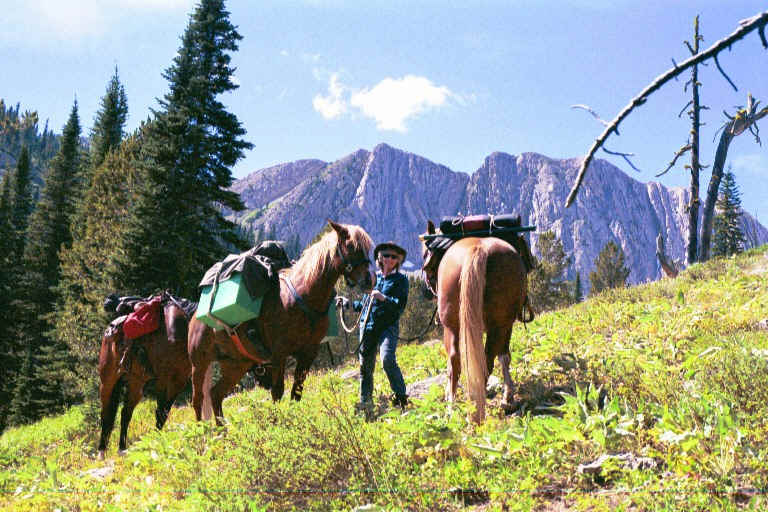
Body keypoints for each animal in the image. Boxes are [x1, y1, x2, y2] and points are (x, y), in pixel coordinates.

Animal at [97, 302, 192, 458]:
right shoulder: (164, 380)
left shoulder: (179, 382)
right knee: (106, 414)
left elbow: (164, 413)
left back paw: (122, 449)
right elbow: (160, 412)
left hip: (136, 385)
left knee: (125, 413)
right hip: (107, 382)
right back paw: (101, 451)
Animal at [189, 220, 376, 424]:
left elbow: (296, 392)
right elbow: (277, 392)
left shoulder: (308, 353)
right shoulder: (279, 354)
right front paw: (279, 423)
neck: (303, 296)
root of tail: (195, 316)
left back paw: (222, 429)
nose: (370, 281)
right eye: (350, 246)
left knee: (216, 394)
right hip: (199, 363)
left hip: (236, 364)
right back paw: (202, 430)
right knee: (198, 399)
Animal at [420, 218, 536, 422]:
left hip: (453, 327)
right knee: (486, 359)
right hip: (498, 325)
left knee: (456, 360)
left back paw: (455, 407)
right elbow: (504, 356)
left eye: (425, 253)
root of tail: (478, 248)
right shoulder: (506, 326)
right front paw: (508, 396)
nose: (427, 290)